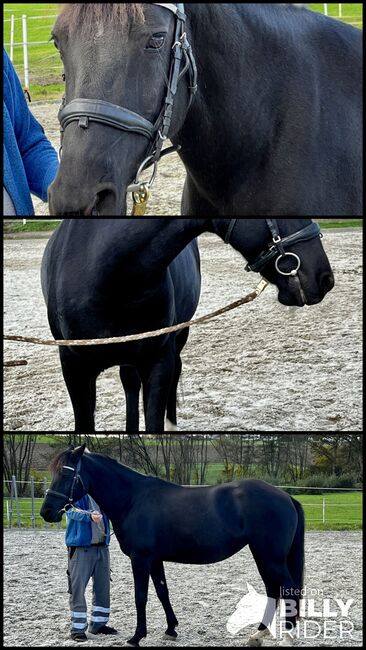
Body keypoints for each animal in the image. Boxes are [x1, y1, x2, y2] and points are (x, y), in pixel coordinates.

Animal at [40, 442, 306, 644]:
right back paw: (258, 634)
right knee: (273, 589)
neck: (132, 499)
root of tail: (285, 496)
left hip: (270, 556)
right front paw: (171, 629)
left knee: (287, 588)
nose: (46, 511)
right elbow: (162, 592)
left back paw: (287, 637)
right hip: (263, 555)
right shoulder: (155, 559)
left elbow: (141, 596)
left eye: (66, 474)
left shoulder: (140, 559)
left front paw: (136, 637)